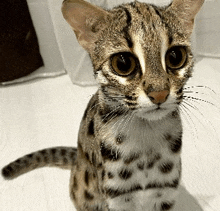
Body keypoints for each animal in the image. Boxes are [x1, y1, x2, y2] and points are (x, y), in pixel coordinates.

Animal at [1, 0, 205, 210]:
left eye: (176, 57)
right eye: (123, 63)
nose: (159, 94)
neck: (145, 134)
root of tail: (77, 160)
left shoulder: (165, 191)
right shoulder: (116, 196)